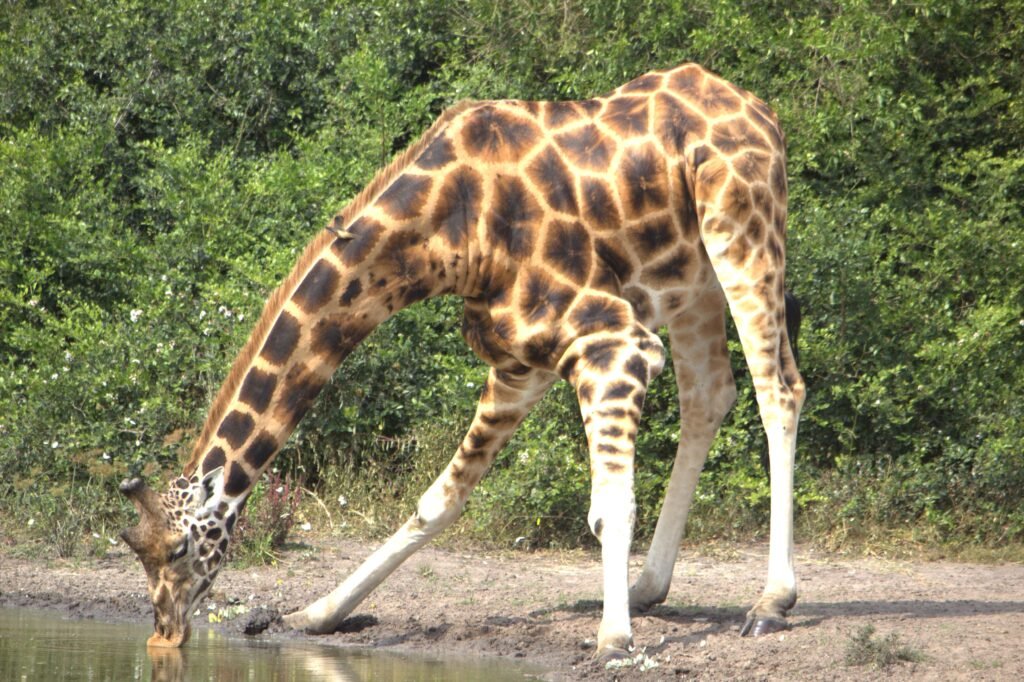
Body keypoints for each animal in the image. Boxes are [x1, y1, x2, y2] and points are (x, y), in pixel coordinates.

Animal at [119, 62, 805, 658]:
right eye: (138, 551)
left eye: (178, 550)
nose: (164, 633)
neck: (447, 235)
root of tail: (763, 111)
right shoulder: (520, 362)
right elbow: (439, 501)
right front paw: (316, 613)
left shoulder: (613, 344)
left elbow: (607, 507)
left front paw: (614, 641)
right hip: (690, 284)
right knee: (709, 397)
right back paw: (645, 589)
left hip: (743, 232)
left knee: (778, 390)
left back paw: (769, 603)